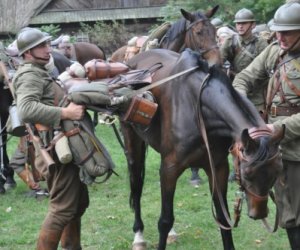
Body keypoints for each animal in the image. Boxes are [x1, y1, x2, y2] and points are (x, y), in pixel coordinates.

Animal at [118, 48, 282, 250]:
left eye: (276, 173)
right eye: (247, 174)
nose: (259, 213)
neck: (199, 109)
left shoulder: (218, 168)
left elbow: (223, 218)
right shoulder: (170, 168)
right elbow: (164, 220)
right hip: (132, 145)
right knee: (136, 185)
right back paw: (139, 235)